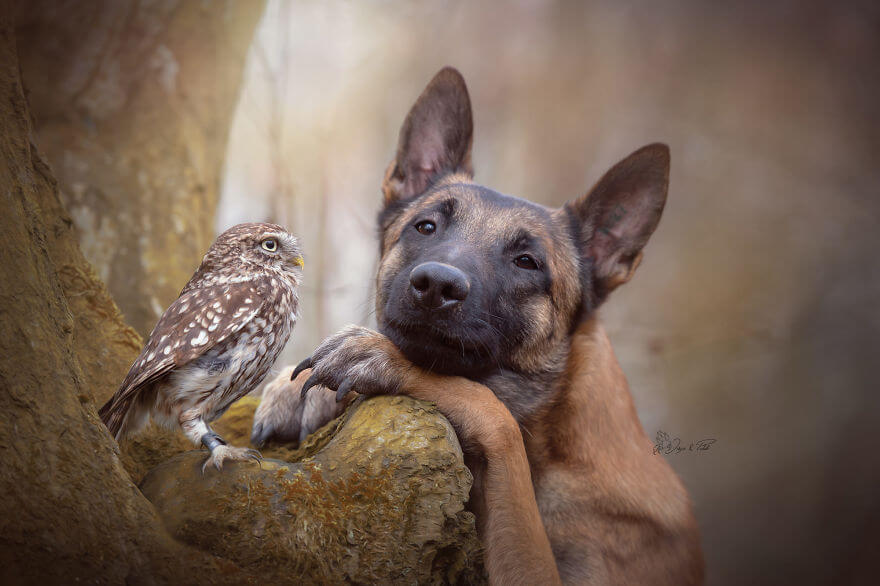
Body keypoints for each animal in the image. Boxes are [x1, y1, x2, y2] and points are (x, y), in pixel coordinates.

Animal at [251, 67, 704, 580]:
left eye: (527, 261)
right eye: (426, 227)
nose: (435, 285)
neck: (554, 434)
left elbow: (488, 408)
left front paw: (379, 357)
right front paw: (296, 390)